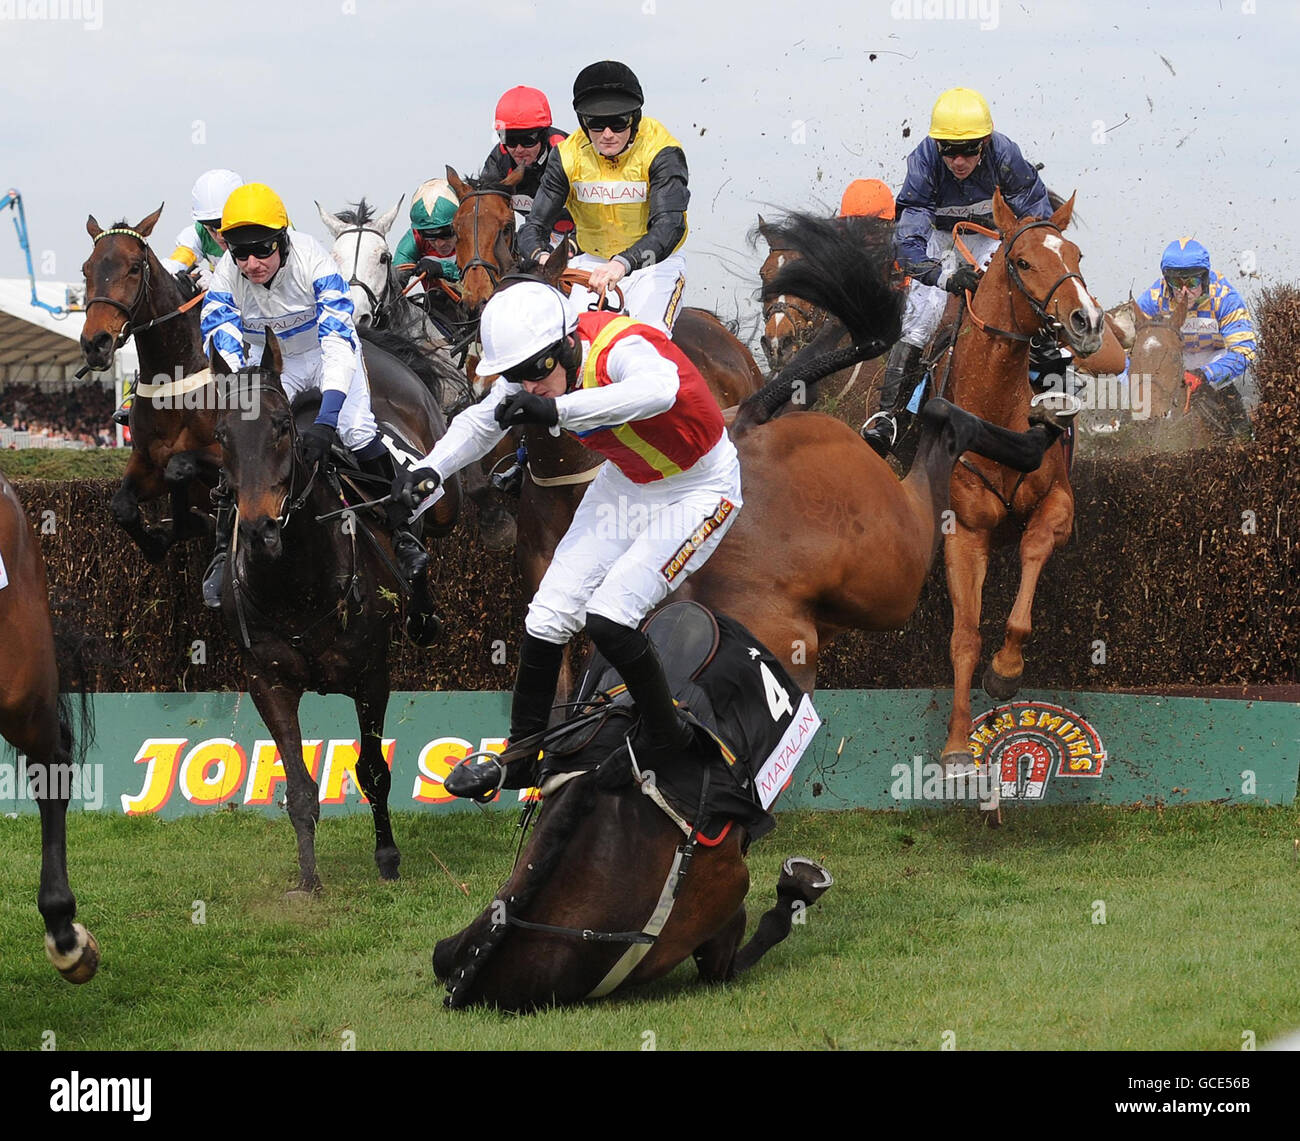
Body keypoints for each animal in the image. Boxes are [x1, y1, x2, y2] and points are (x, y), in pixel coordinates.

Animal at [205, 330, 460, 894]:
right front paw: (307, 880)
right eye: (221, 435)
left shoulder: (371, 675)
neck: (297, 588)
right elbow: (299, 787)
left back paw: (420, 594)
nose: (259, 530)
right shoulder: (268, 681)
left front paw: (387, 857)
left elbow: (373, 770)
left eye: (281, 428)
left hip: (441, 498)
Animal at [434, 211, 1066, 1008]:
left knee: (942, 432)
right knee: (554, 617)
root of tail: (745, 421)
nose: (498, 394)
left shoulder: (715, 893)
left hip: (889, 565)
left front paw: (799, 887)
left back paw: (1023, 429)